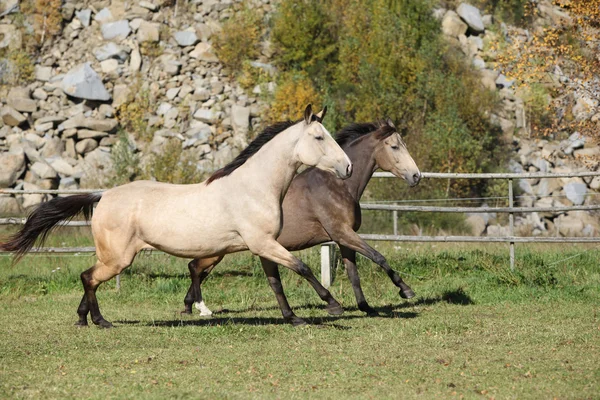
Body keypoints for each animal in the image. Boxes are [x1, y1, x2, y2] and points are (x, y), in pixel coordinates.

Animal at [1, 104, 352, 326]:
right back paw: (101, 321)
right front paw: (333, 306)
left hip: (113, 258)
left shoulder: (263, 246)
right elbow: (303, 268)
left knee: (89, 279)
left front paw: (293, 318)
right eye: (319, 137)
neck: (254, 187)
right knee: (89, 278)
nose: (347, 167)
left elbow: (276, 283)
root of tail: (103, 195)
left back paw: (83, 319)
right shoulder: (264, 244)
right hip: (118, 258)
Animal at [180, 120, 420, 326]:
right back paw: (198, 307)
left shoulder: (344, 239)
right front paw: (406, 290)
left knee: (197, 268)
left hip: (219, 250)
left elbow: (354, 274)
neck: (336, 186)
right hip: (216, 250)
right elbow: (379, 257)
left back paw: (190, 306)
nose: (416, 176)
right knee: (195, 267)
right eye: (395, 146)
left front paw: (366, 307)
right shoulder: (342, 233)